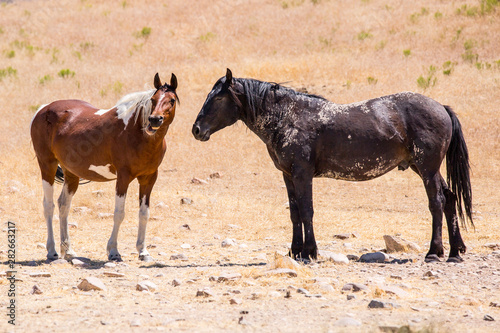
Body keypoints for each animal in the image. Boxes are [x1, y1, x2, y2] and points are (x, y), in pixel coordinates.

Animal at [30, 73, 178, 262]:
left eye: (171, 100)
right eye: (153, 99)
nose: (154, 119)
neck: (138, 134)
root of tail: (43, 109)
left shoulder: (149, 178)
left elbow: (144, 214)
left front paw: (143, 251)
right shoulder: (123, 178)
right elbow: (119, 213)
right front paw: (113, 251)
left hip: (71, 174)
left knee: (63, 205)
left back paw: (68, 250)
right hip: (47, 166)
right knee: (48, 206)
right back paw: (52, 251)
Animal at [193, 68, 474, 262]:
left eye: (218, 99)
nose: (196, 130)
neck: (289, 118)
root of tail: (441, 107)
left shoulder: (302, 174)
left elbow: (307, 211)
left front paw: (309, 252)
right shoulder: (288, 176)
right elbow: (295, 213)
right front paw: (295, 251)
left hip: (427, 168)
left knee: (437, 202)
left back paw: (434, 252)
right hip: (425, 168)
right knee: (450, 199)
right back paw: (455, 251)